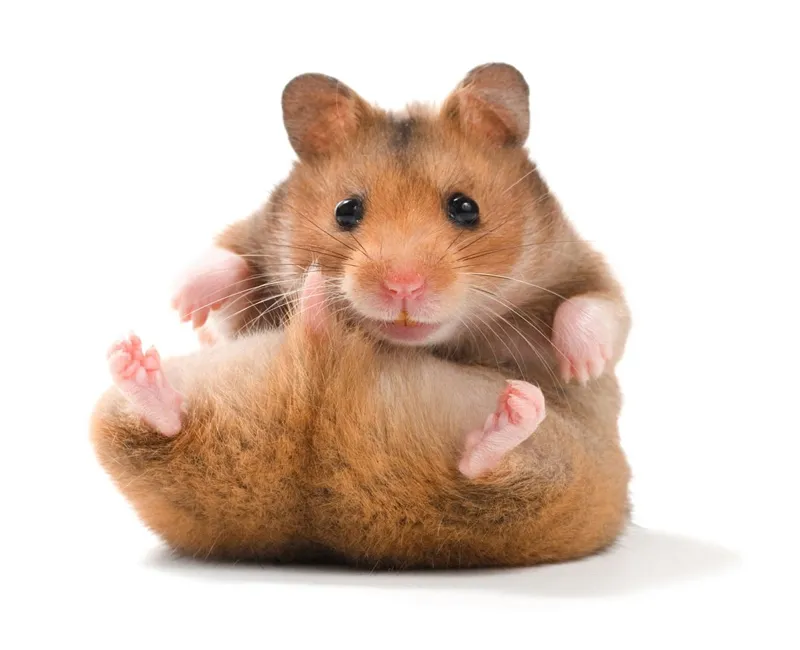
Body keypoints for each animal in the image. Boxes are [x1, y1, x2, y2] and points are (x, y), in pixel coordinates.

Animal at [172, 62, 631, 395]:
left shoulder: (576, 263)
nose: (403, 287)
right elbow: (226, 277)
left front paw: (581, 368)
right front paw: (184, 308)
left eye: (466, 208)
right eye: (345, 211)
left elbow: (598, 307)